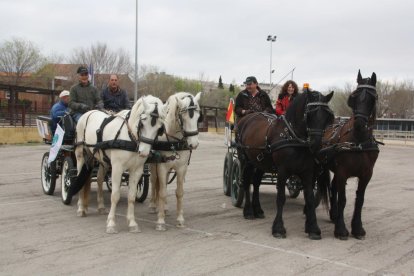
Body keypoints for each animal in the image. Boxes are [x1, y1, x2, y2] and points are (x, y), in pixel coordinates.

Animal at [74, 95, 165, 233]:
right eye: (142, 123)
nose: (144, 152)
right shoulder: (117, 168)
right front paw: (111, 223)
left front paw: (132, 223)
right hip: (81, 155)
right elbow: (115, 195)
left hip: (102, 160)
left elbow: (131, 196)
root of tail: (88, 112)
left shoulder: (137, 170)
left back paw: (100, 207)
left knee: (99, 179)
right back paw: (80, 208)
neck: (130, 137)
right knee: (81, 179)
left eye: (159, 127)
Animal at [149, 91, 202, 231]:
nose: (193, 144)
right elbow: (162, 192)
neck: (173, 142)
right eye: (184, 117)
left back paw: (165, 207)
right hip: (153, 165)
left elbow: (179, 193)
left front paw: (180, 219)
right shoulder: (162, 167)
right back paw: (153, 205)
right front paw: (160, 221)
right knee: (154, 182)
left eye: (198, 117)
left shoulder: (181, 168)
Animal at [236, 90, 334, 239]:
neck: (293, 137)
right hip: (246, 161)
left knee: (256, 183)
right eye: (309, 114)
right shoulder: (283, 172)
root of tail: (248, 117)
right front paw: (278, 228)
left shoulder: (307, 172)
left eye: (327, 116)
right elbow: (281, 198)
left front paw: (313, 228)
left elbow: (310, 198)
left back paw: (258, 209)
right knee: (246, 182)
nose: (316, 145)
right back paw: (248, 211)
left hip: (260, 163)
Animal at [318, 70, 380, 239]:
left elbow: (360, 200)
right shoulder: (343, 172)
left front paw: (357, 228)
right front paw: (341, 229)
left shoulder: (366, 174)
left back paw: (333, 214)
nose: (359, 124)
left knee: (333, 188)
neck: (358, 142)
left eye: (373, 98)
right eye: (354, 97)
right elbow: (343, 200)